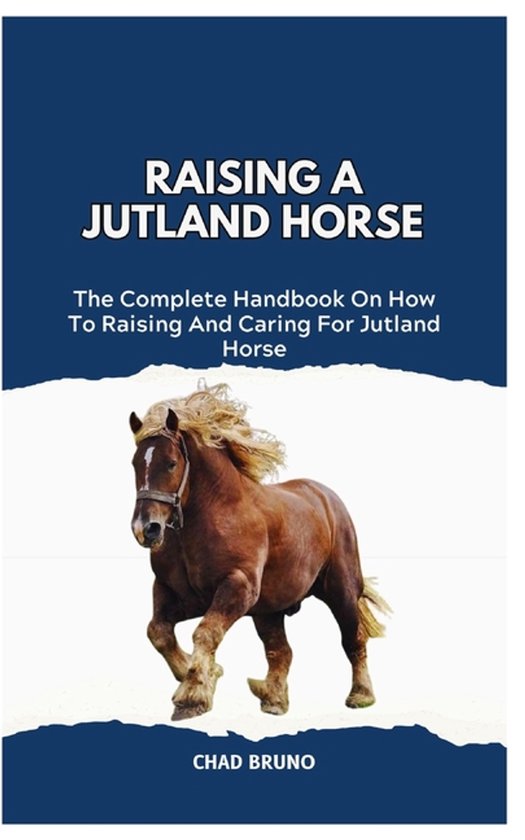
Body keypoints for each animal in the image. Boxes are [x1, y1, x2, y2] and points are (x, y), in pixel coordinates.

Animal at [129, 384, 389, 721]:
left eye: (171, 463)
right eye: (135, 463)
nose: (146, 529)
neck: (210, 514)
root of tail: (327, 498)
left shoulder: (237, 587)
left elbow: (205, 633)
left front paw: (193, 695)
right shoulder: (177, 592)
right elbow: (158, 632)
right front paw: (205, 674)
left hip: (341, 590)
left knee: (352, 638)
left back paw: (361, 696)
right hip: (269, 610)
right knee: (281, 650)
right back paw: (273, 699)